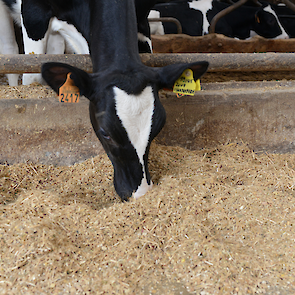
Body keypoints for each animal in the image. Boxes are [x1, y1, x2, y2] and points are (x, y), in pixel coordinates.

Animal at [21, 0, 210, 201]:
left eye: (159, 127)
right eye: (106, 133)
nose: (139, 193)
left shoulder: (142, 19)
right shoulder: (33, 14)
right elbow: (31, 75)